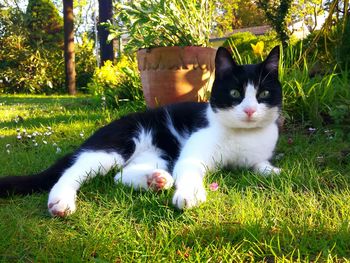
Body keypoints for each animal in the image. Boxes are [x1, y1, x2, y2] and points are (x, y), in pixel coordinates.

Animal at [0, 46, 282, 218]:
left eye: (264, 94)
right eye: (234, 93)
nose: (249, 110)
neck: (243, 135)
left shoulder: (255, 154)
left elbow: (258, 164)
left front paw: (273, 171)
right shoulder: (196, 146)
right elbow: (189, 168)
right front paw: (189, 194)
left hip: (158, 154)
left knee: (119, 176)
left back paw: (155, 180)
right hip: (119, 142)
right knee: (75, 170)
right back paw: (61, 201)